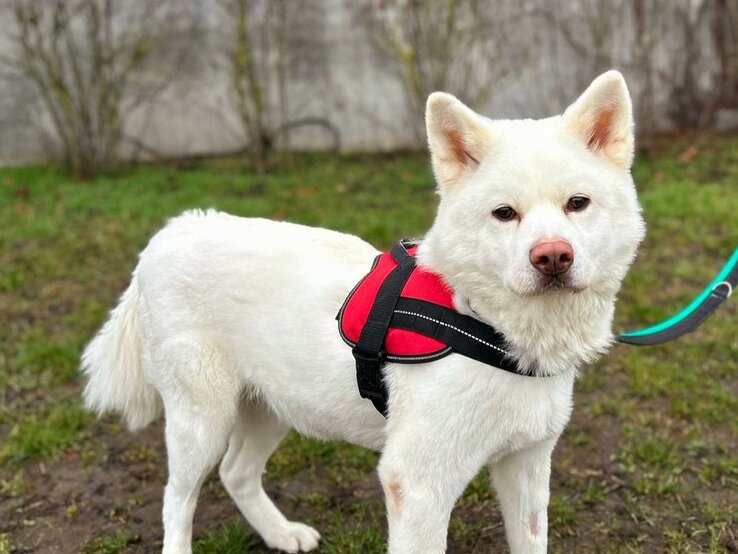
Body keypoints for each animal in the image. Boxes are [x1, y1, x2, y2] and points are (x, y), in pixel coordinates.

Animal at [82, 71, 644, 548]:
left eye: (577, 203)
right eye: (504, 214)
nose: (552, 257)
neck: (484, 322)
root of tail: (172, 231)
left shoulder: (526, 464)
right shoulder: (415, 483)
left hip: (272, 403)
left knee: (235, 472)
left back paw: (281, 534)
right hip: (201, 419)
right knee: (177, 499)